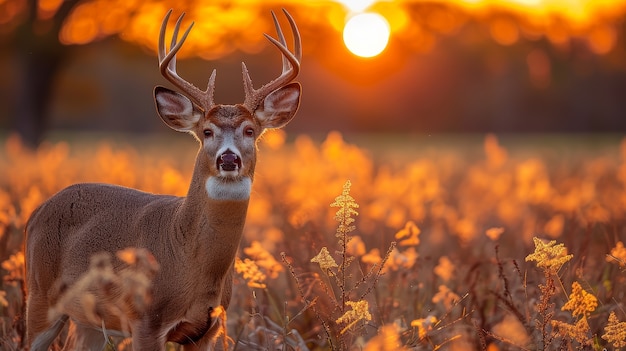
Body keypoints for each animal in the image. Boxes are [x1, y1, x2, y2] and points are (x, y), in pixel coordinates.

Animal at [25, 8, 304, 351]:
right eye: (206, 131)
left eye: (250, 130)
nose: (228, 159)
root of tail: (37, 211)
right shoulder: (145, 321)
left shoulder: (207, 329)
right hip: (39, 295)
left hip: (88, 320)